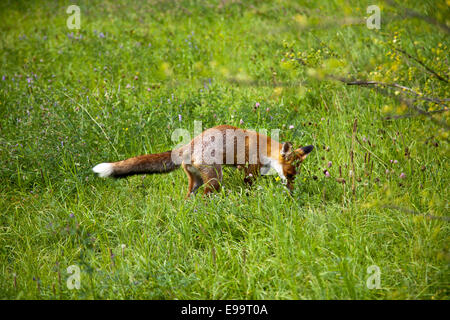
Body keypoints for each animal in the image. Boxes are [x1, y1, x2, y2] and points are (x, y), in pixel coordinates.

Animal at [92, 125, 312, 198]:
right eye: (290, 175)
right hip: (215, 179)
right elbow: (249, 185)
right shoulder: (248, 169)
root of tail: (187, 145)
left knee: (189, 198)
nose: (292, 193)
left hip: (196, 181)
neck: (265, 149)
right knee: (207, 197)